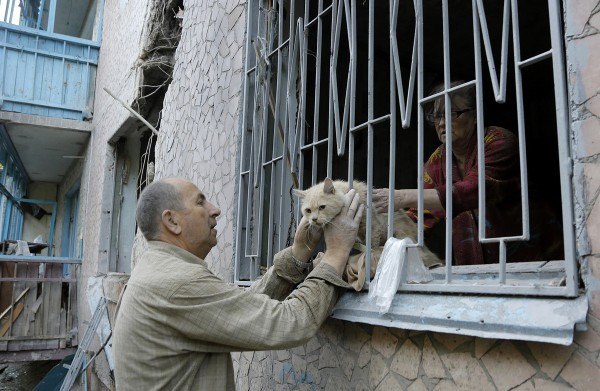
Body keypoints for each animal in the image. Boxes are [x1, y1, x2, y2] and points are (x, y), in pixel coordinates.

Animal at [294, 179, 440, 268]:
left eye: (322, 207)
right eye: (308, 210)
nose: (314, 219)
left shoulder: (373, 226)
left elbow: (372, 246)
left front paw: (371, 256)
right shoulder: (362, 232)